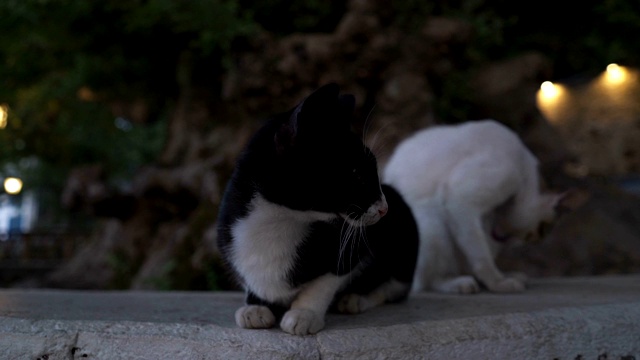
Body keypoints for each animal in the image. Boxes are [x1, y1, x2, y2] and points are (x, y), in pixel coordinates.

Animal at [215, 83, 418, 334]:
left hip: (404, 240)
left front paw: (304, 313)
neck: (279, 221)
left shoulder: (345, 254)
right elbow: (251, 279)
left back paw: (356, 299)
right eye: (357, 175)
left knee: (392, 287)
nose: (384, 208)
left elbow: (326, 280)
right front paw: (255, 306)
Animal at [382, 119, 564, 294]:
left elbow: (477, 250)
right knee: (426, 282)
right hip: (432, 225)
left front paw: (501, 277)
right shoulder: (462, 198)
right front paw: (498, 283)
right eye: (540, 231)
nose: (524, 243)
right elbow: (481, 258)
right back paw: (460, 283)